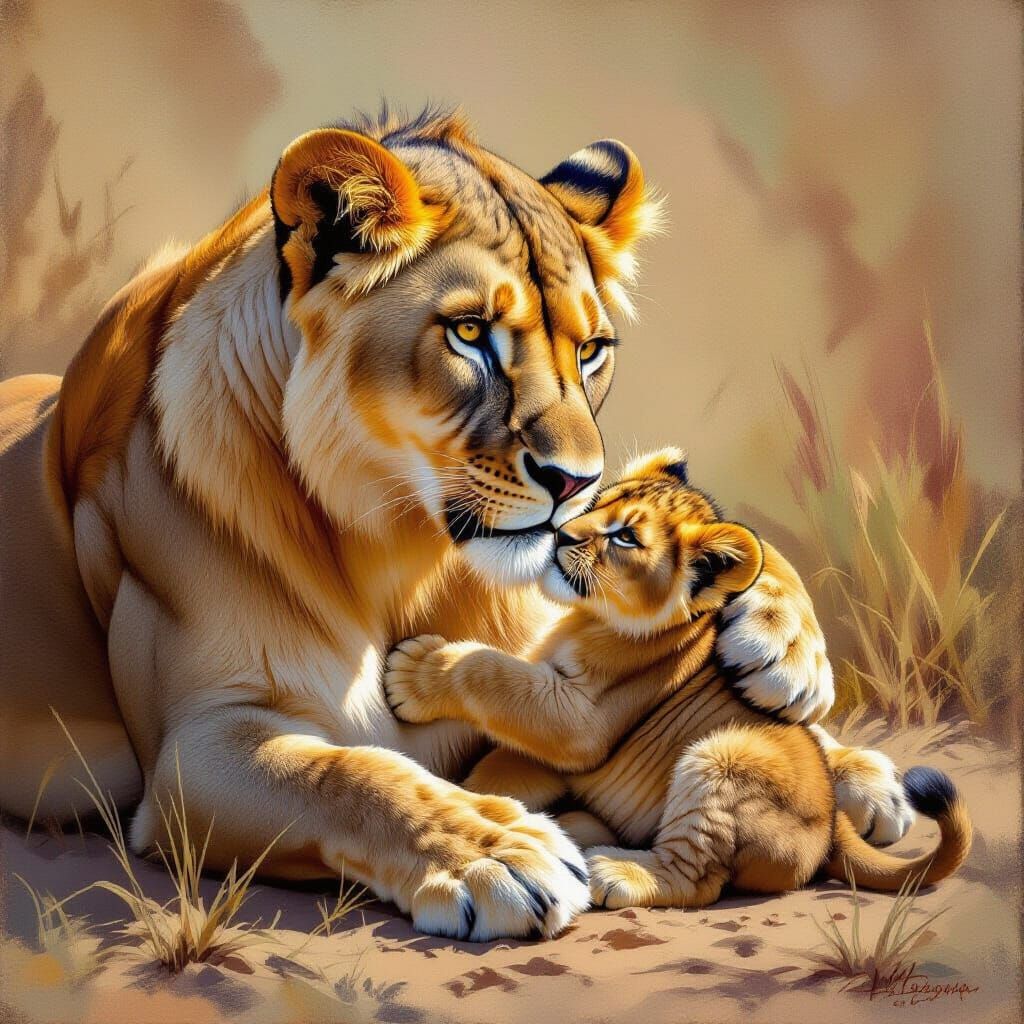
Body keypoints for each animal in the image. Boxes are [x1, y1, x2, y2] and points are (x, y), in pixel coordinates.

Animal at [0, 108, 910, 940]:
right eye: (469, 333)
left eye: (591, 351)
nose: (576, 484)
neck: (397, 551)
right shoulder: (191, 754)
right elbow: (348, 773)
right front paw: (497, 853)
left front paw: (792, 664)